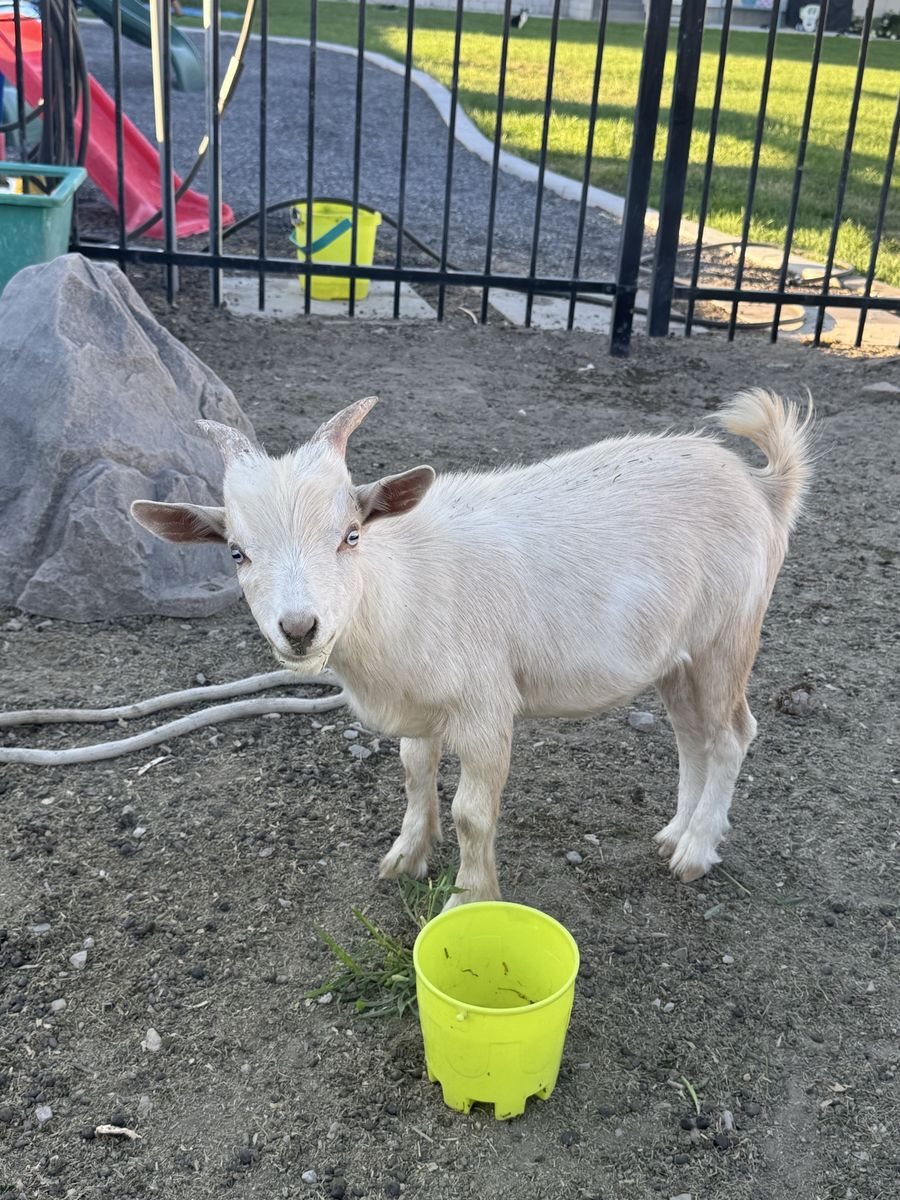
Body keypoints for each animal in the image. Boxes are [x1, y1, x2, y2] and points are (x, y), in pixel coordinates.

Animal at [132, 390, 812, 905]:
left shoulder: (486, 707)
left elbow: (471, 813)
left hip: (728, 636)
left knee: (732, 735)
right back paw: (676, 833)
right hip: (679, 657)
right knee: (692, 736)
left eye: (350, 535)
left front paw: (469, 898)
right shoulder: (421, 706)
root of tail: (762, 487)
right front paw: (406, 855)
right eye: (235, 552)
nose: (300, 629)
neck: (399, 584)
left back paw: (697, 850)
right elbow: (414, 776)